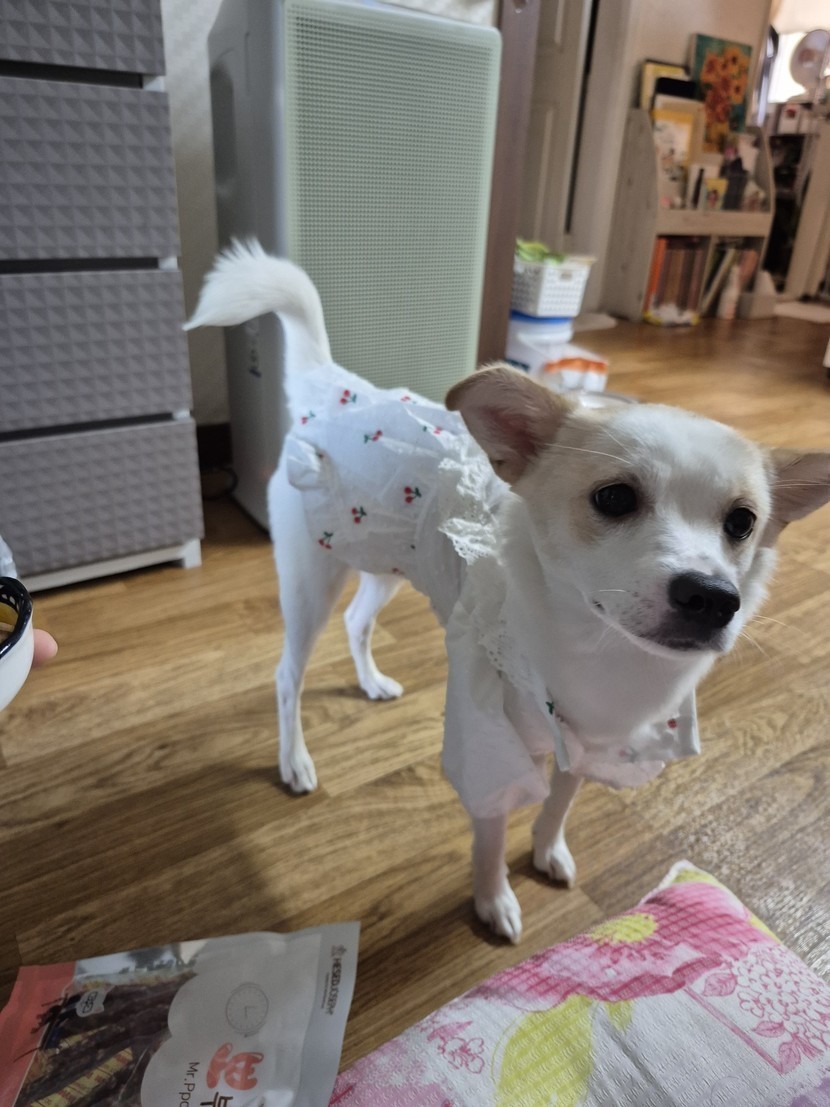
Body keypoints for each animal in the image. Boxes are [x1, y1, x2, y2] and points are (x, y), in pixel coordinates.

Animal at [187, 240, 830, 943]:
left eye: (742, 522)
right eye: (614, 498)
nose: (714, 597)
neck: (595, 649)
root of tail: (334, 389)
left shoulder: (591, 745)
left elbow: (559, 804)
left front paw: (548, 851)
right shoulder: (488, 745)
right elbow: (492, 833)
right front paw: (494, 898)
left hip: (387, 564)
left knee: (358, 622)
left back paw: (371, 681)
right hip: (311, 579)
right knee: (288, 676)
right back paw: (295, 760)